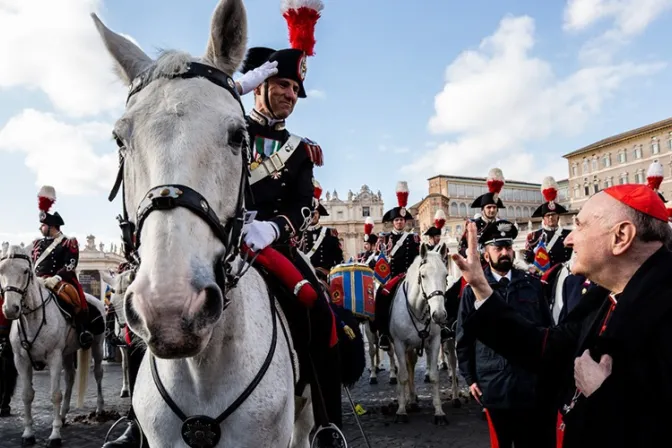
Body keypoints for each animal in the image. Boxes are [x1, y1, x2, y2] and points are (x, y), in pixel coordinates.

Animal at [0, 243, 105, 446]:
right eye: (1, 270)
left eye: (25, 271)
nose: (10, 309)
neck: (32, 316)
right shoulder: (21, 360)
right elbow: (27, 395)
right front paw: (28, 434)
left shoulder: (54, 356)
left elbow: (55, 394)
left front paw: (55, 436)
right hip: (68, 352)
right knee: (70, 378)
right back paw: (63, 416)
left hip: (97, 345)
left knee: (98, 373)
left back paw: (99, 409)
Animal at [386, 245, 448, 424]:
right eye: (423, 275)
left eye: (445, 275)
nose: (439, 315)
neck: (417, 309)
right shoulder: (399, 344)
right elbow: (403, 376)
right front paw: (401, 411)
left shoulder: (434, 342)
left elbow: (434, 376)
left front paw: (439, 412)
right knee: (405, 368)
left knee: (411, 364)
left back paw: (412, 399)